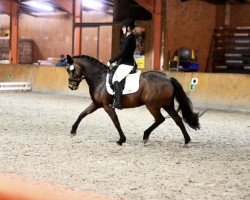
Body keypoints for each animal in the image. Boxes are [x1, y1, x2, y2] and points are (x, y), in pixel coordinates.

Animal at [66, 55, 199, 147]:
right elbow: (82, 114)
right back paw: (186, 140)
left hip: (152, 105)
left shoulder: (106, 106)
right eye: (67, 70)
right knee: (177, 119)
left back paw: (146, 135)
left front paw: (121, 140)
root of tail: (168, 78)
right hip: (167, 105)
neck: (99, 78)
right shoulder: (97, 104)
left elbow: (116, 122)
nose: (71, 86)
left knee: (160, 119)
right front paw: (73, 131)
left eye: (71, 70)